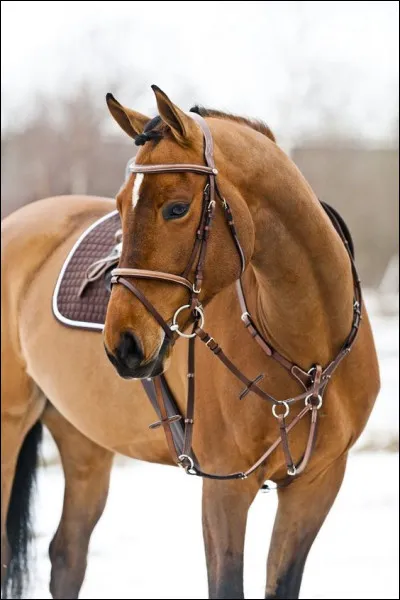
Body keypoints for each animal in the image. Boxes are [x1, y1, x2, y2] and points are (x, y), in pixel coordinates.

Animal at [1, 85, 380, 600]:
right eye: (120, 205)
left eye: (177, 208)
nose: (123, 344)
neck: (308, 351)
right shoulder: (224, 489)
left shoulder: (316, 485)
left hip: (84, 441)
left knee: (67, 555)